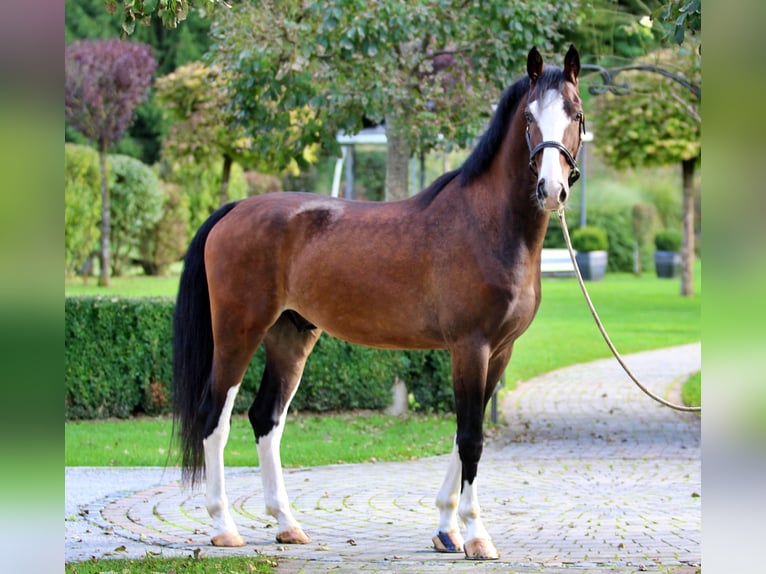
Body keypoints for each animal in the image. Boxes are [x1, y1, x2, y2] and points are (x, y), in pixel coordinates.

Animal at [172, 45, 585, 561]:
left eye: (576, 114)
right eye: (529, 116)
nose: (552, 189)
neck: (489, 225)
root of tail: (234, 210)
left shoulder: (501, 352)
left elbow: (460, 435)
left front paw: (446, 529)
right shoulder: (471, 348)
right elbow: (471, 438)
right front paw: (476, 535)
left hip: (290, 336)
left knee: (266, 418)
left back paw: (287, 523)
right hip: (238, 333)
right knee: (215, 417)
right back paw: (224, 526)